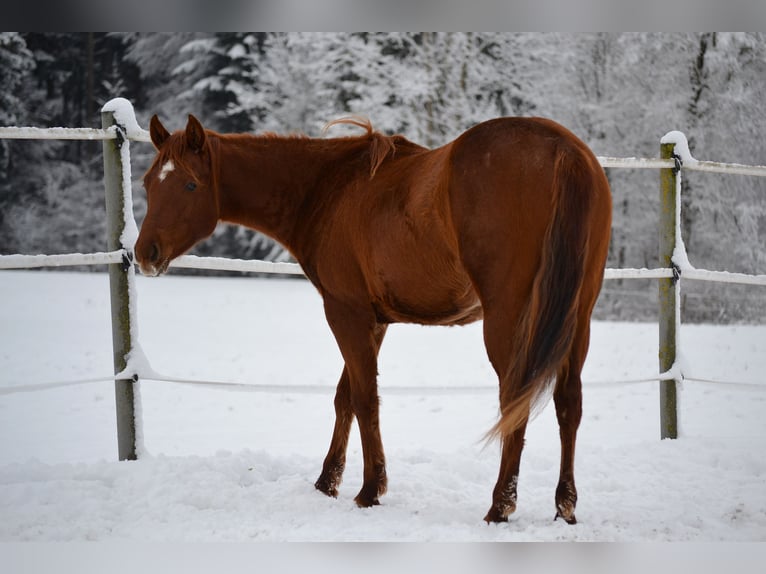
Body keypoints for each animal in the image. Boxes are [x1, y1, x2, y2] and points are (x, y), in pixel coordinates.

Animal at [136, 113, 612, 528]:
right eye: (147, 183)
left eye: (190, 183)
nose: (145, 253)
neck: (329, 189)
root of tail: (563, 149)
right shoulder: (374, 320)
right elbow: (345, 397)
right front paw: (327, 482)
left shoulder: (344, 312)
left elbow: (365, 400)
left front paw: (369, 490)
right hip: (578, 319)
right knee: (568, 403)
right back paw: (565, 506)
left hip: (507, 320)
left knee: (515, 399)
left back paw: (500, 505)